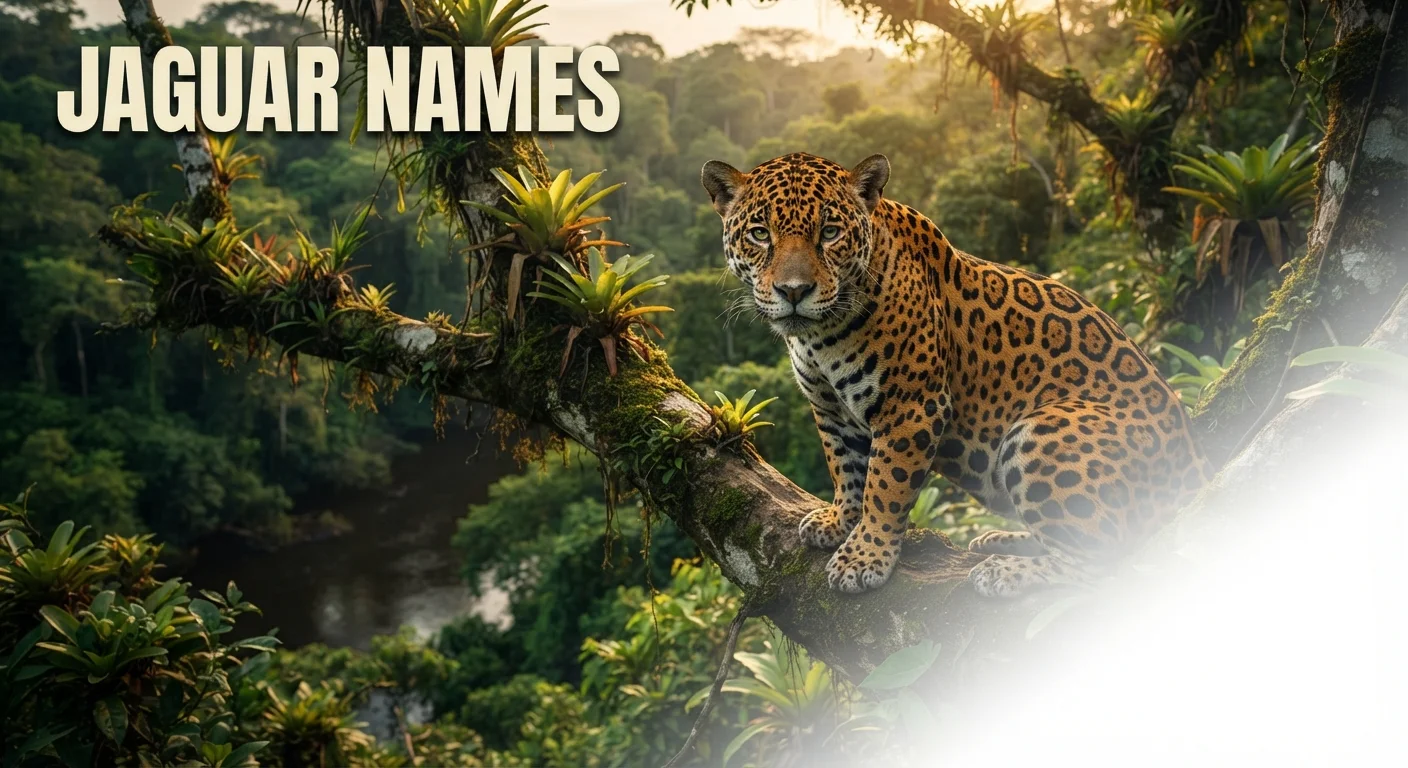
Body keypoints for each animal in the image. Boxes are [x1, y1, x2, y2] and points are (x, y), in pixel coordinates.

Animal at [700, 152, 1211, 597]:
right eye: (760, 234)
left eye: (829, 232)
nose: (793, 291)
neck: (822, 334)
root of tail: (1195, 476)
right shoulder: (829, 409)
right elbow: (846, 469)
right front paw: (839, 521)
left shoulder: (911, 408)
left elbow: (884, 487)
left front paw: (865, 557)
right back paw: (1001, 542)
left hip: (1044, 430)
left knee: (1107, 558)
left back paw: (1004, 571)